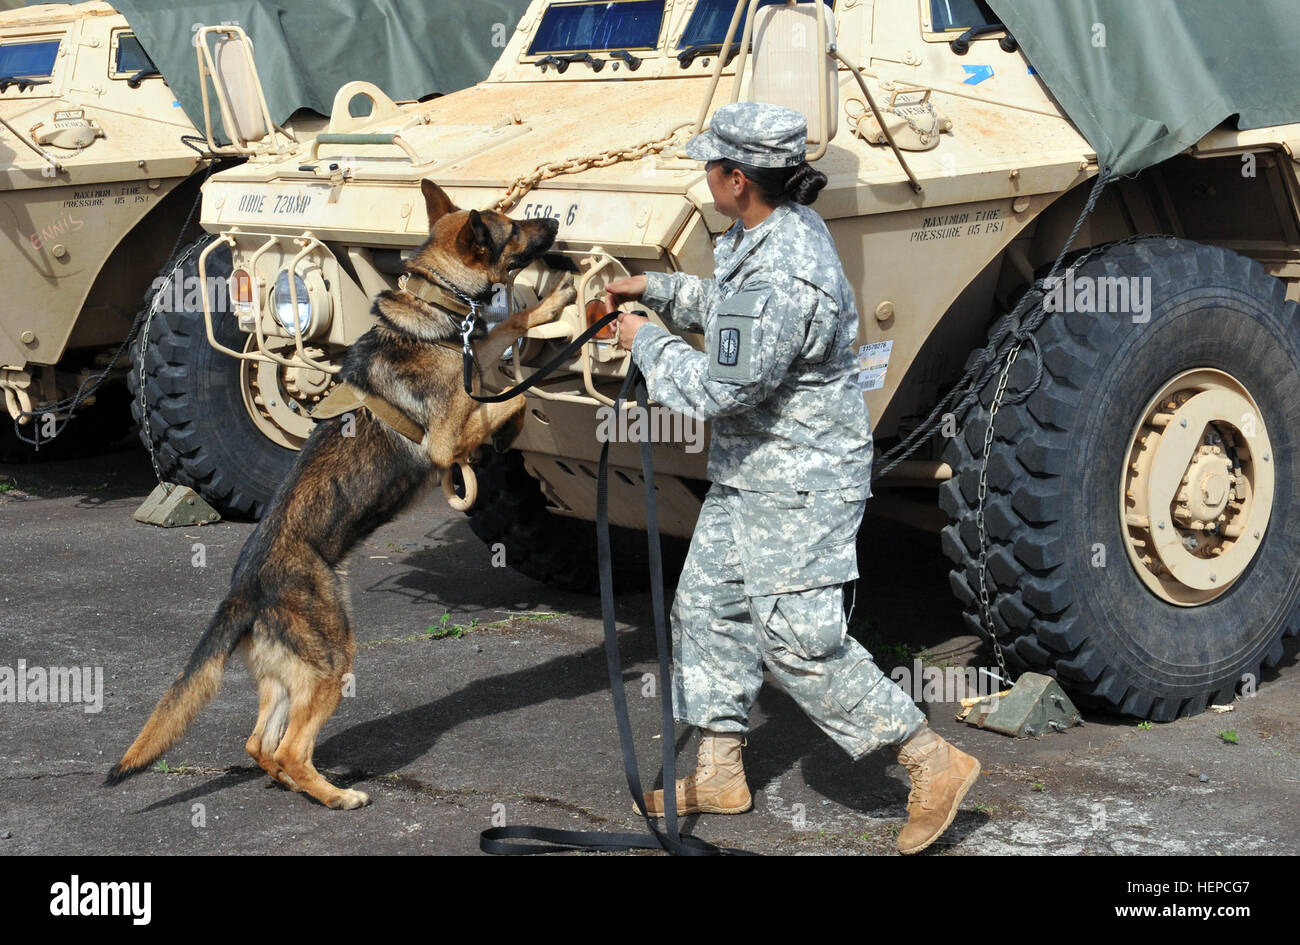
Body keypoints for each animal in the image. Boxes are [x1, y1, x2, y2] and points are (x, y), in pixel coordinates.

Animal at [109, 180, 577, 811]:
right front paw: (507, 428)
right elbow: (512, 398)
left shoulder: (473, 355)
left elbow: (504, 329)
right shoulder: (447, 434)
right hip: (332, 658)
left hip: (293, 672)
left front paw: (549, 308)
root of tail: (244, 590)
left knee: (259, 744)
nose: (554, 225)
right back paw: (336, 797)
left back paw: (298, 784)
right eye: (514, 227)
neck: (432, 310)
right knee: (286, 748)